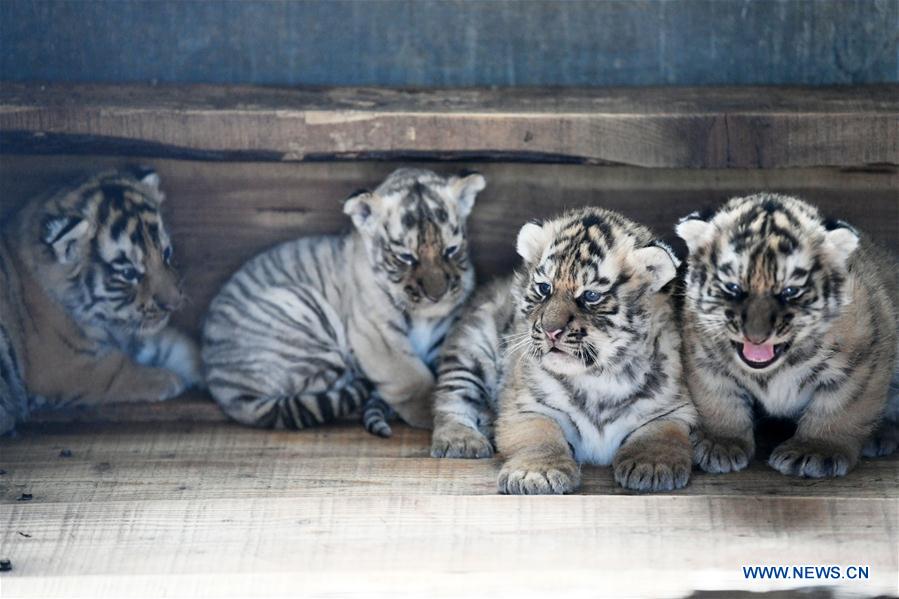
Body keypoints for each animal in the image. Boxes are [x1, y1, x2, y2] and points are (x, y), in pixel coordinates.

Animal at [0, 168, 203, 435]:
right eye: (128, 273)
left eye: (166, 253)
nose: (173, 304)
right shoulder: (65, 365)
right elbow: (117, 368)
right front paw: (168, 379)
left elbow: (174, 345)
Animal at [201, 167, 485, 436]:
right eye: (406, 257)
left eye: (451, 250)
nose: (437, 295)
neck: (425, 314)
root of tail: (226, 391)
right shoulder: (376, 335)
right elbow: (412, 378)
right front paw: (433, 412)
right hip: (304, 311)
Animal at [431, 207, 697, 494]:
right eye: (544, 288)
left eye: (590, 296)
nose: (550, 331)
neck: (600, 378)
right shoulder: (527, 407)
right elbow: (540, 435)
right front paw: (536, 474)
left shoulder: (676, 410)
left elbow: (662, 433)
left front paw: (652, 465)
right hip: (472, 346)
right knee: (452, 398)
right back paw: (461, 440)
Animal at [676, 193, 899, 478]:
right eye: (733, 287)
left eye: (790, 291)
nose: (756, 337)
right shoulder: (703, 359)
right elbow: (718, 399)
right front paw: (720, 442)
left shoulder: (864, 358)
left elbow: (841, 408)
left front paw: (816, 449)